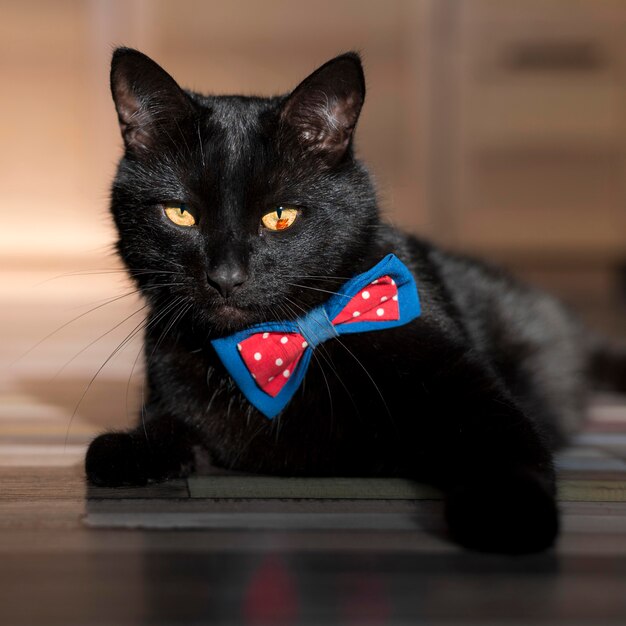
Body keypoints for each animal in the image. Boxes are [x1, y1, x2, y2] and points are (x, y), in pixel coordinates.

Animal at [85, 48, 620, 552]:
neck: (285, 345)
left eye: (280, 215)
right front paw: (126, 448)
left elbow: (508, 443)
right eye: (180, 214)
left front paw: (508, 514)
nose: (226, 277)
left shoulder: (469, 385)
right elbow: (161, 427)